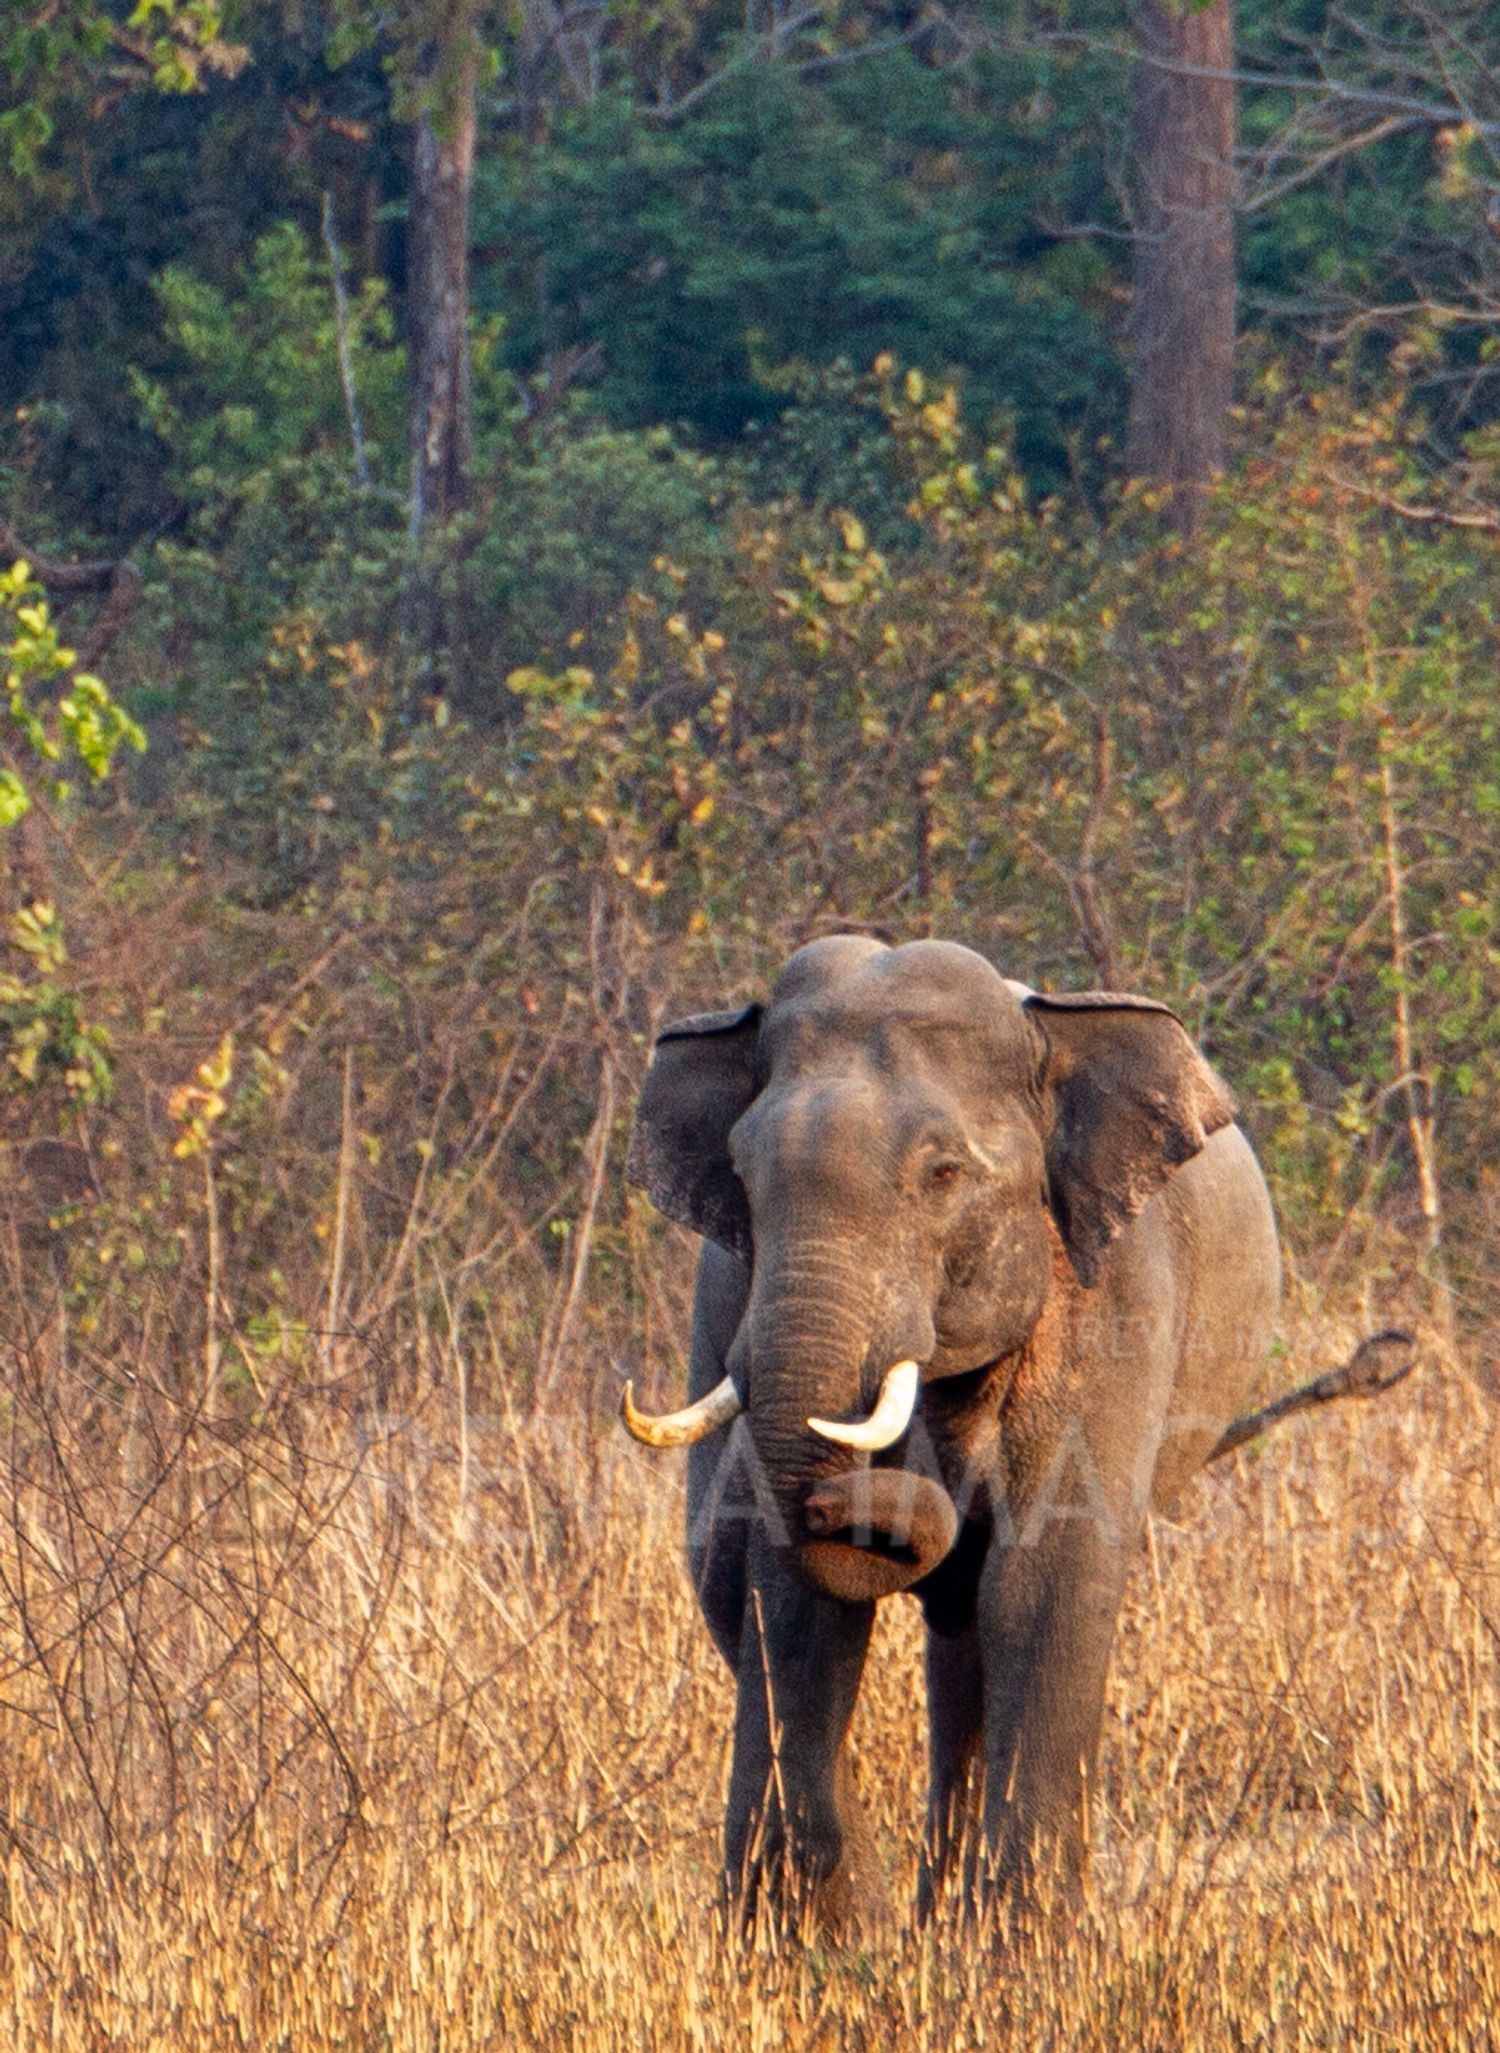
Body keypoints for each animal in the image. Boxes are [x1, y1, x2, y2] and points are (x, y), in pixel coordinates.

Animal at [621, 935, 1283, 1935]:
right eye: (741, 1171)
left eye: (941, 1174)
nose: (861, 1493)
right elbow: (794, 1598)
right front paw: (809, 1934)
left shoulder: (1117, 1300)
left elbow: (1044, 1581)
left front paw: (1021, 1946)